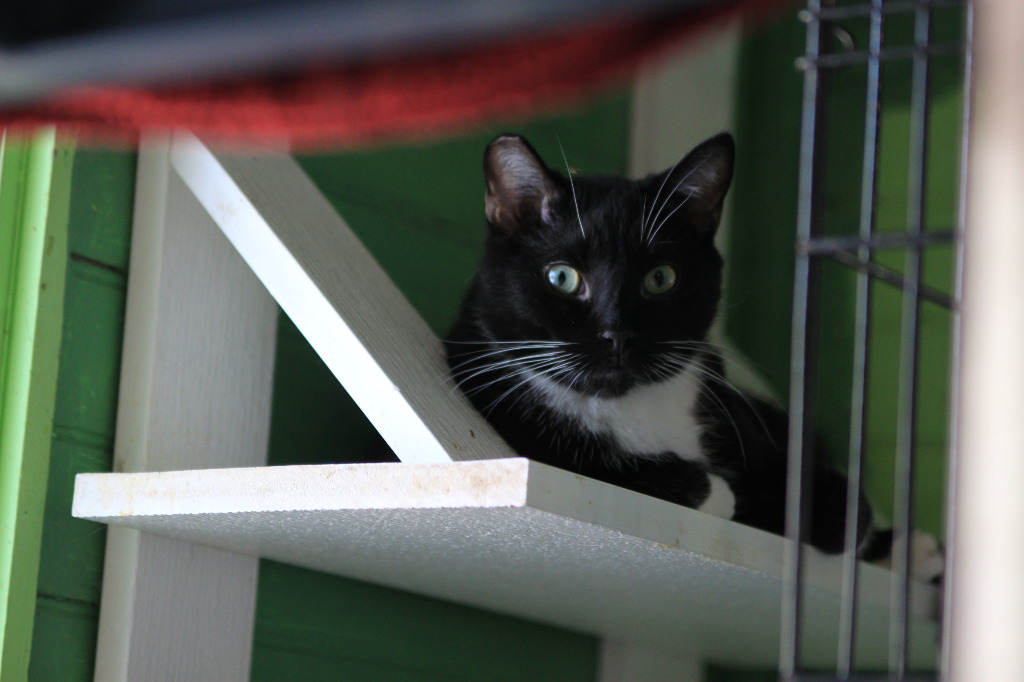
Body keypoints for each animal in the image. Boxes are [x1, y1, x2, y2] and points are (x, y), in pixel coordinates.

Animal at [446, 131, 880, 552]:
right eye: (562, 277)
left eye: (660, 278)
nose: (617, 333)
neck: (629, 406)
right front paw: (717, 492)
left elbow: (831, 499)